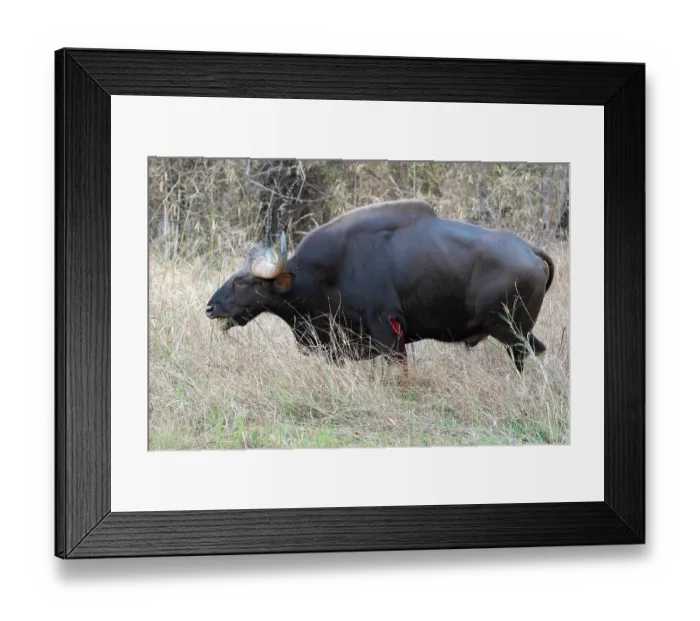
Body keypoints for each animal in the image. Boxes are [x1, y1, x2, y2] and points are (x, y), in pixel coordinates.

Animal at [205, 199, 555, 374]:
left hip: (511, 330)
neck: (325, 273)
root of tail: (529, 250)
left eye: (242, 282)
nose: (210, 307)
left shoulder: (388, 330)